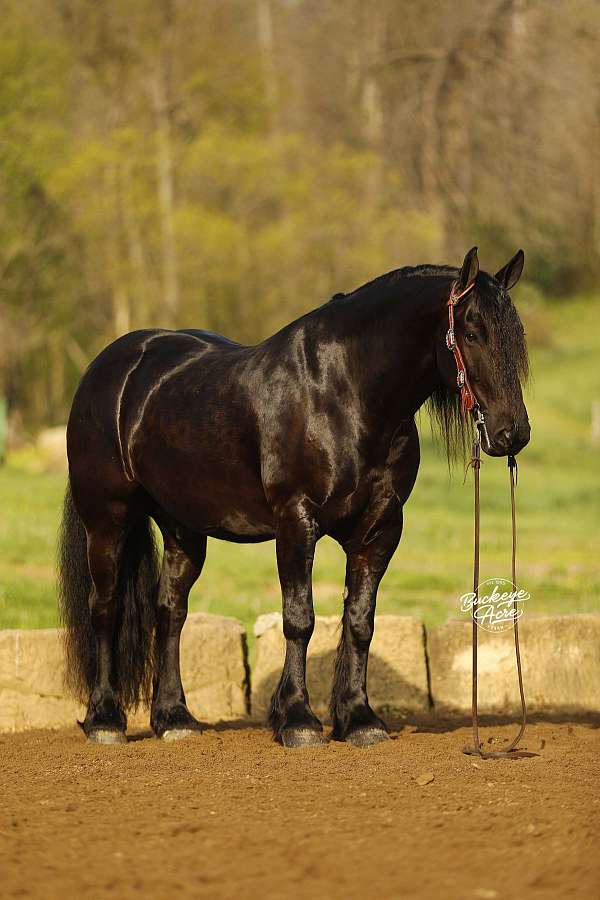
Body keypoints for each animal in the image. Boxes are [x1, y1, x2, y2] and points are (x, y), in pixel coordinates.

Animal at [58, 246, 530, 747]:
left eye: (515, 336)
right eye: (472, 332)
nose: (512, 433)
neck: (345, 394)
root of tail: (112, 367)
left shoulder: (381, 527)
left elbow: (360, 621)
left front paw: (359, 718)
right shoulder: (296, 519)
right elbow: (299, 618)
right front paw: (299, 719)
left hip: (182, 529)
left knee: (169, 612)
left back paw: (175, 718)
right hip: (106, 520)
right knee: (105, 608)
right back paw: (105, 720)